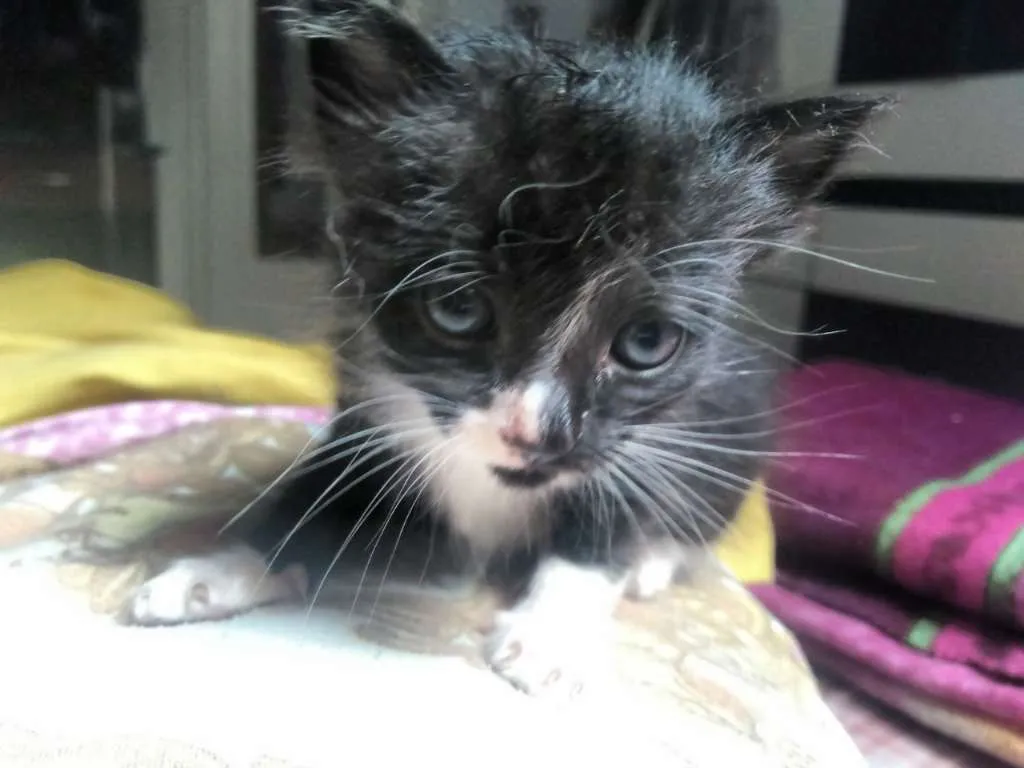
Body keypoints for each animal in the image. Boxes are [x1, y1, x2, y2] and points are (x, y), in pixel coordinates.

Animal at [122, 0, 883, 697]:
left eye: (646, 342)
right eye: (459, 310)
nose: (537, 434)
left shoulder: (662, 427)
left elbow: (608, 511)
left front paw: (552, 631)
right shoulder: (364, 411)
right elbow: (314, 493)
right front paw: (218, 569)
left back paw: (652, 560)